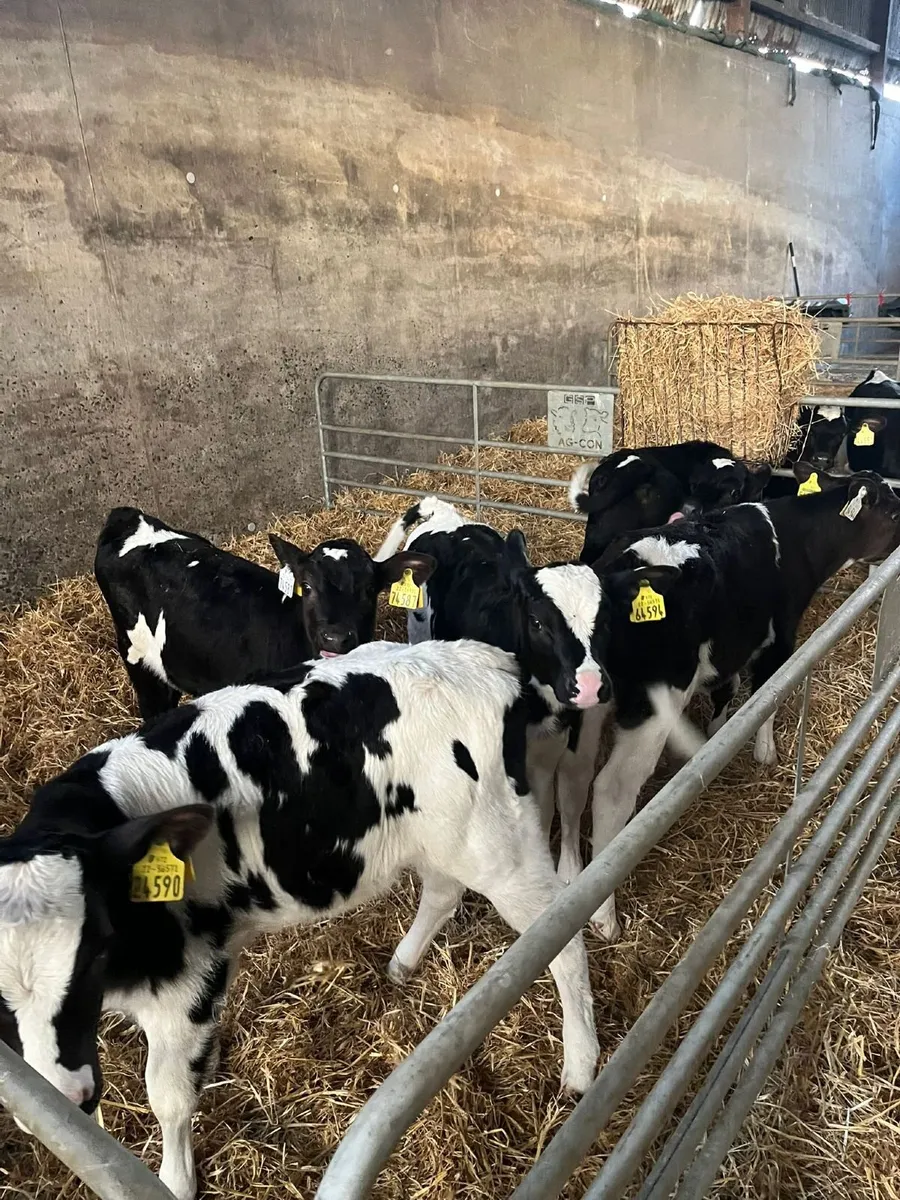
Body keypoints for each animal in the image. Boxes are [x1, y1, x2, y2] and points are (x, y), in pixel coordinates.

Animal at [0, 640, 599, 1200]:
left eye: (97, 946)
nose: (67, 1098)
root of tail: (483, 660)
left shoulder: (189, 982)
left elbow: (167, 1096)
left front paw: (174, 1179)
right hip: (440, 839)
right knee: (443, 889)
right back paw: (403, 964)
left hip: (502, 849)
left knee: (563, 938)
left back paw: (581, 1064)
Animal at [559, 467, 900, 940]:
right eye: (892, 510)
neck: (797, 537)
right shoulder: (779, 640)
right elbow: (766, 695)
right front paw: (764, 751)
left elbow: (726, 692)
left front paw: (719, 735)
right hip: (651, 707)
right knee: (611, 789)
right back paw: (603, 913)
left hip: (587, 702)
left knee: (572, 778)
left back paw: (569, 878)